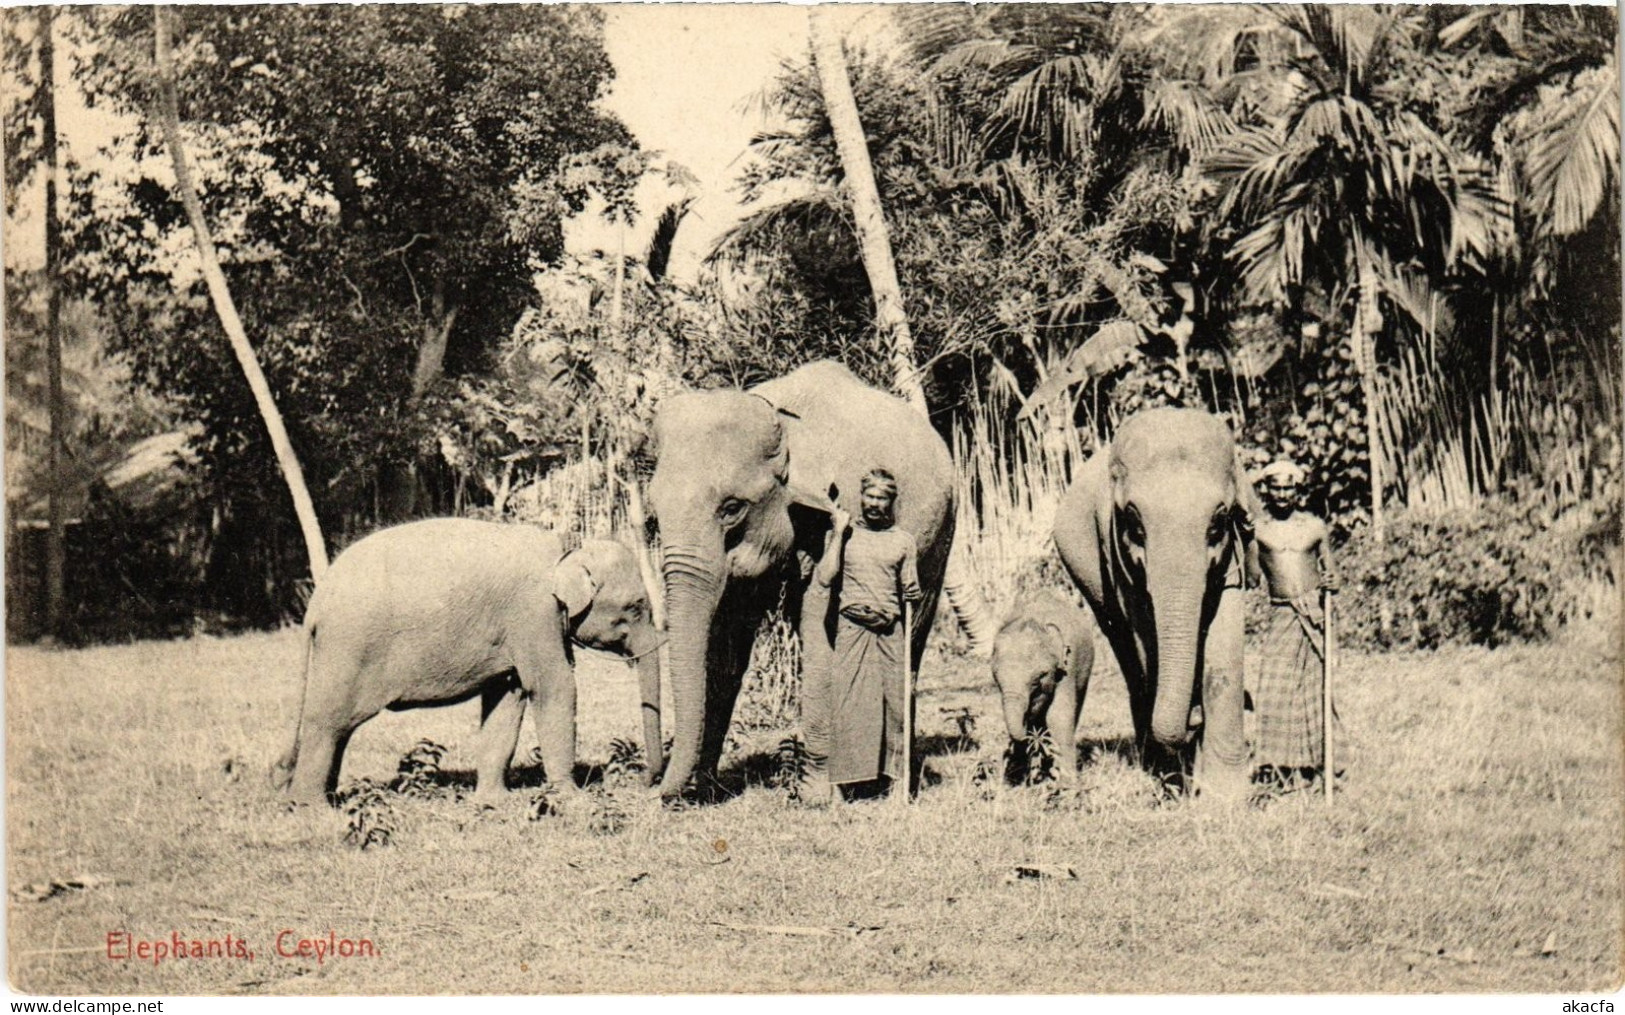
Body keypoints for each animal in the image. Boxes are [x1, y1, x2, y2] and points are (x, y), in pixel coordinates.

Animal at [270, 519, 663, 805]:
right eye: (636, 606)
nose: (646, 782)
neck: (568, 547)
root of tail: (317, 601)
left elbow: (508, 698)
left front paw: (495, 802)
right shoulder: (534, 613)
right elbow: (553, 687)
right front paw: (571, 798)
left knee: (341, 729)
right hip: (347, 646)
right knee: (328, 721)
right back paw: (312, 810)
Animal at [645, 360, 956, 799]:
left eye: (732, 508)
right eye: (654, 515)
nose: (659, 789)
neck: (784, 424)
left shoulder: (831, 514)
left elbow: (820, 629)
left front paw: (816, 797)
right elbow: (725, 646)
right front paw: (702, 792)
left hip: (942, 533)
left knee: (912, 636)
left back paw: (894, 785)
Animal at [990, 589, 1095, 782]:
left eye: (1036, 680)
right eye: (997, 678)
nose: (1006, 754)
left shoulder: (1067, 667)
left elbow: (1058, 716)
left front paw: (1067, 782)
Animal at [1052, 407, 1262, 802]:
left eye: (1218, 523)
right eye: (1135, 526)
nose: (1194, 725)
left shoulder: (1233, 555)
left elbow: (1224, 644)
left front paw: (1224, 797)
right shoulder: (1117, 558)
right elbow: (1143, 636)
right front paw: (1174, 780)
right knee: (1124, 647)